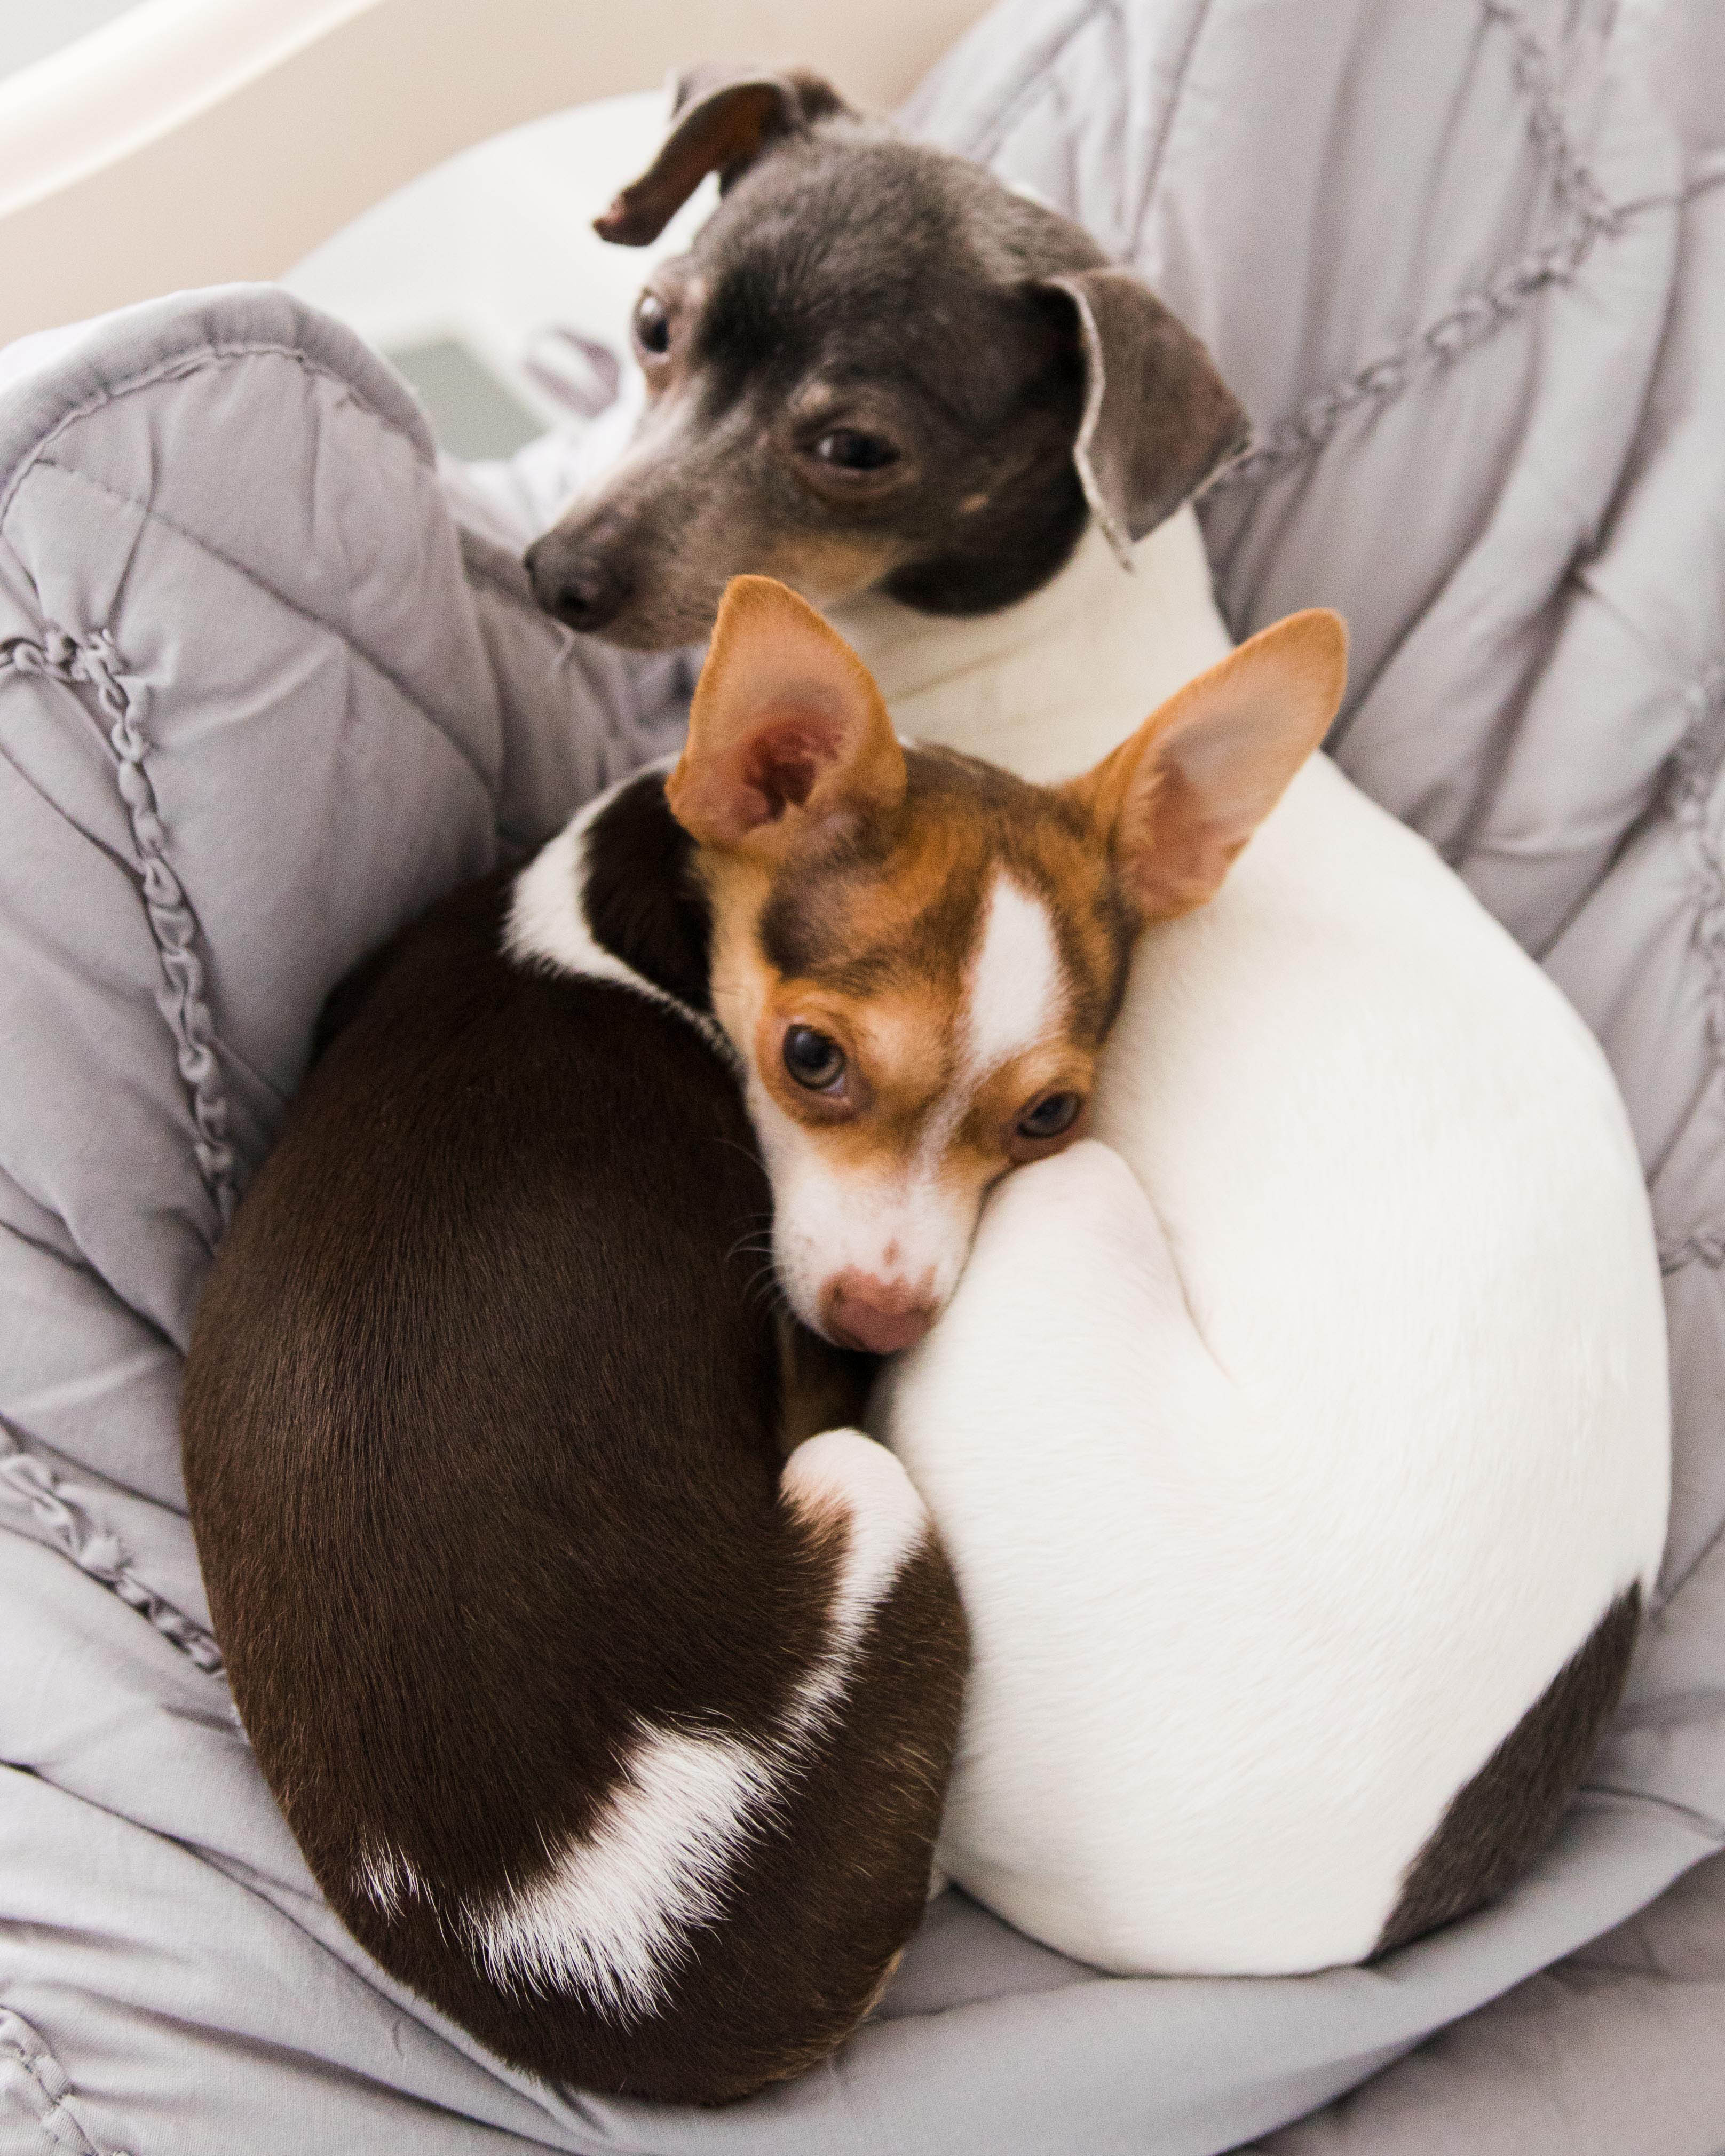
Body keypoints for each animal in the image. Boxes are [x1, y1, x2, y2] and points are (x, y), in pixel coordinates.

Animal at [179, 582, 1336, 2095]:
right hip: (866, 1490)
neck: (596, 922)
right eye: (809, 1061)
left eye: (1048, 1116)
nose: (880, 1320)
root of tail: (623, 1974)